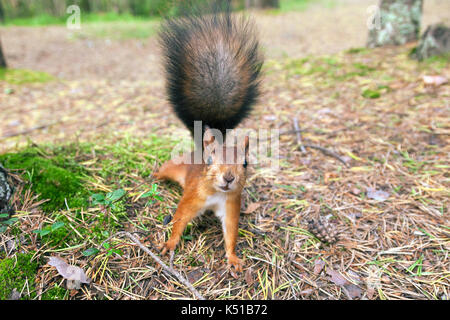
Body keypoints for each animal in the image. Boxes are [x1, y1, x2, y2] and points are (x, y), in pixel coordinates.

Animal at [154, 1, 262, 272]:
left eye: (246, 162)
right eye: (211, 161)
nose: (228, 178)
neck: (216, 194)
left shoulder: (232, 204)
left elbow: (231, 232)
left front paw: (233, 258)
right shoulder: (193, 197)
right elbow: (180, 219)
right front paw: (169, 244)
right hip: (176, 166)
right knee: (165, 170)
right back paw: (155, 174)